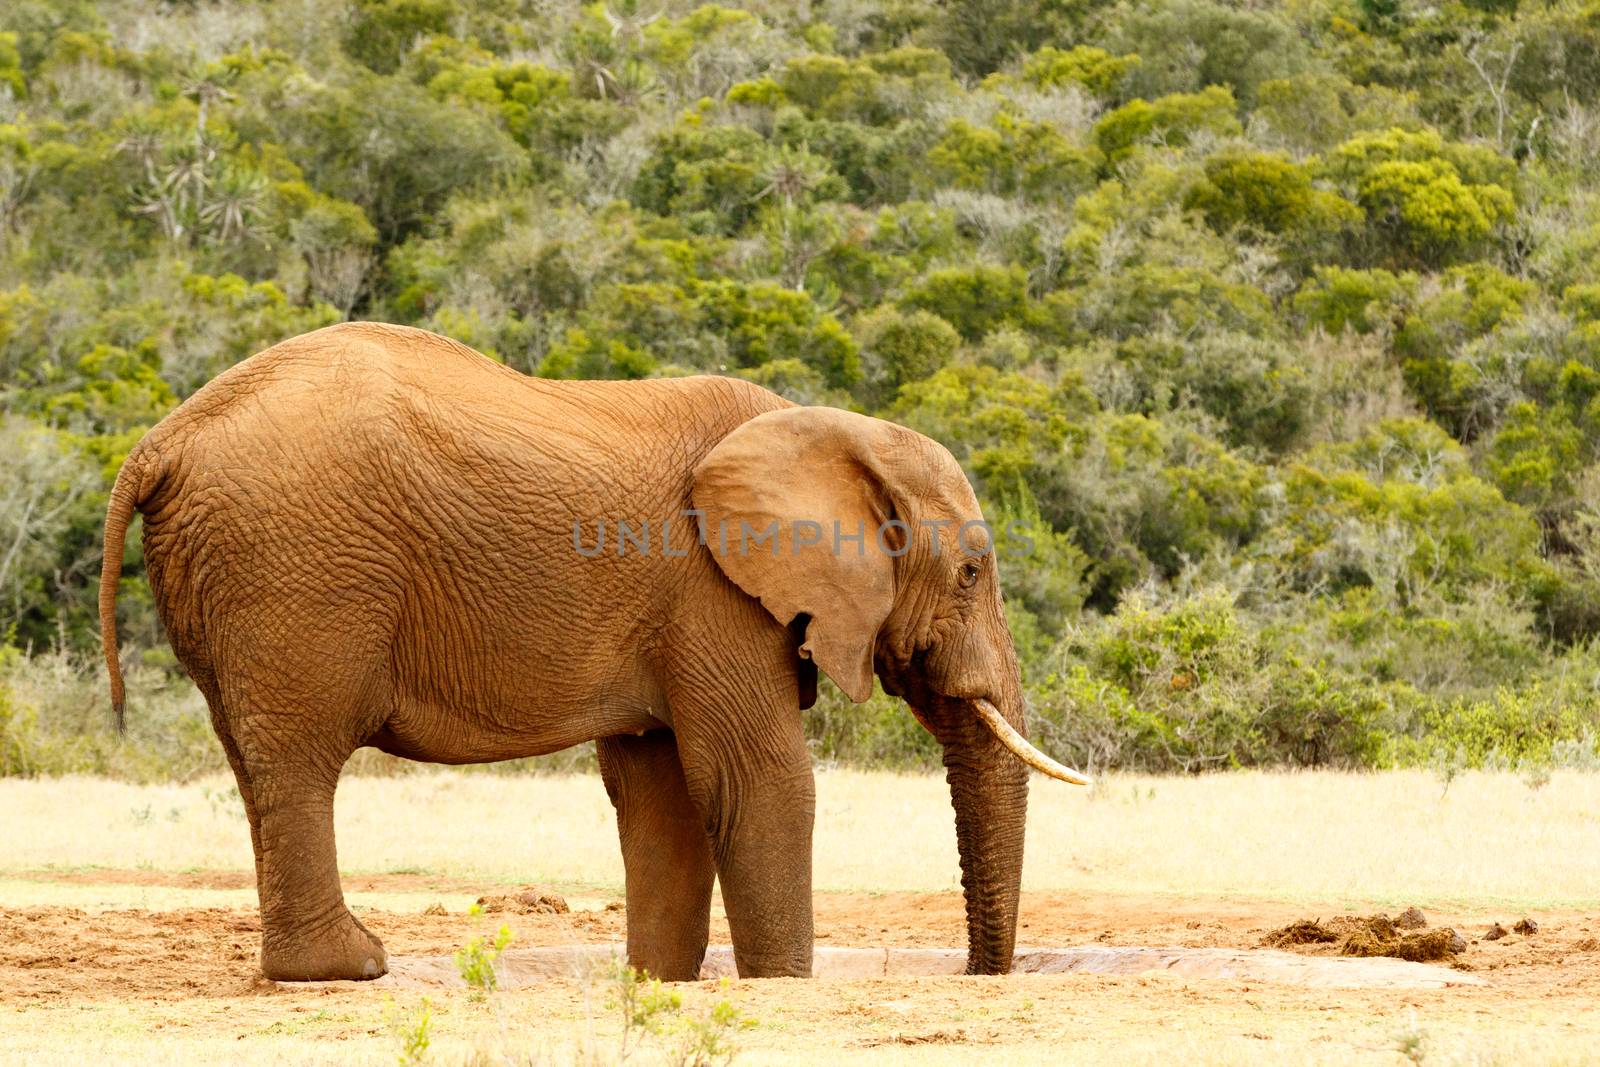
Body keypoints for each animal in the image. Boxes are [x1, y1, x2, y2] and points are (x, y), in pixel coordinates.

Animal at [100, 321, 1088, 979]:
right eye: (971, 571)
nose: (978, 972)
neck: (837, 430)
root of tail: (163, 437)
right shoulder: (710, 591)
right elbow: (760, 778)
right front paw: (782, 981)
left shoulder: (670, 612)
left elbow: (662, 794)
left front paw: (659, 980)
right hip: (297, 571)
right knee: (300, 759)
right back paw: (351, 966)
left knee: (254, 761)